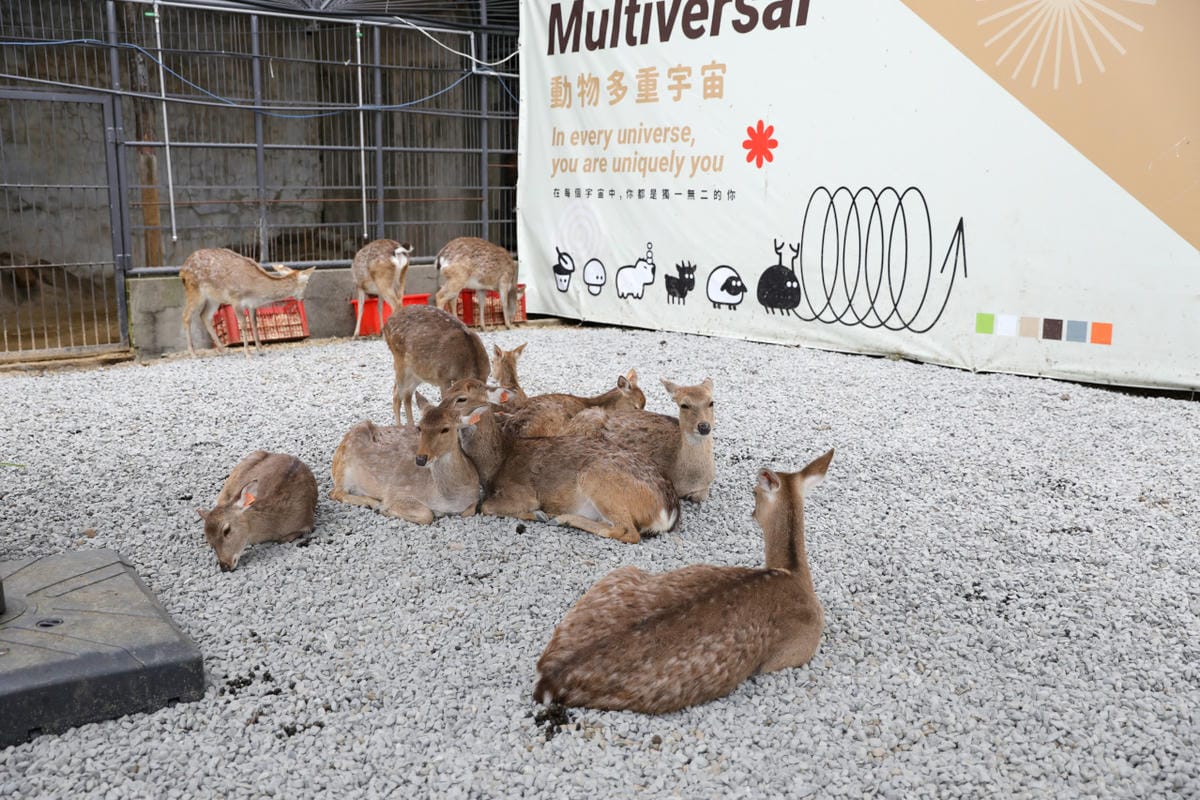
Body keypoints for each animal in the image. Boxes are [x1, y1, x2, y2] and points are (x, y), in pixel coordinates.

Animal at [179, 247, 315, 357]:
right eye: (307, 283)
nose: (302, 298)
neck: (255, 290)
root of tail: (182, 269)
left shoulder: (252, 304)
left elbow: (254, 324)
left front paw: (260, 349)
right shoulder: (235, 299)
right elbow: (244, 325)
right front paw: (247, 352)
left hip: (214, 298)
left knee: (204, 315)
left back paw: (224, 350)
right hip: (194, 290)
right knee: (186, 316)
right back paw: (193, 353)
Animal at [330, 395, 484, 524]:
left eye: (445, 429)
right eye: (419, 427)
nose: (421, 459)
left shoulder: (474, 498)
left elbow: (469, 511)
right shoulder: (398, 491)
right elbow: (427, 514)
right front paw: (385, 509)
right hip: (344, 470)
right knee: (336, 492)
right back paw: (373, 503)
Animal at [534, 448, 833, 714]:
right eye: (754, 492)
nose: (752, 514)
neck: (792, 574)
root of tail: (548, 679)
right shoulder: (795, 653)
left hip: (619, 574)